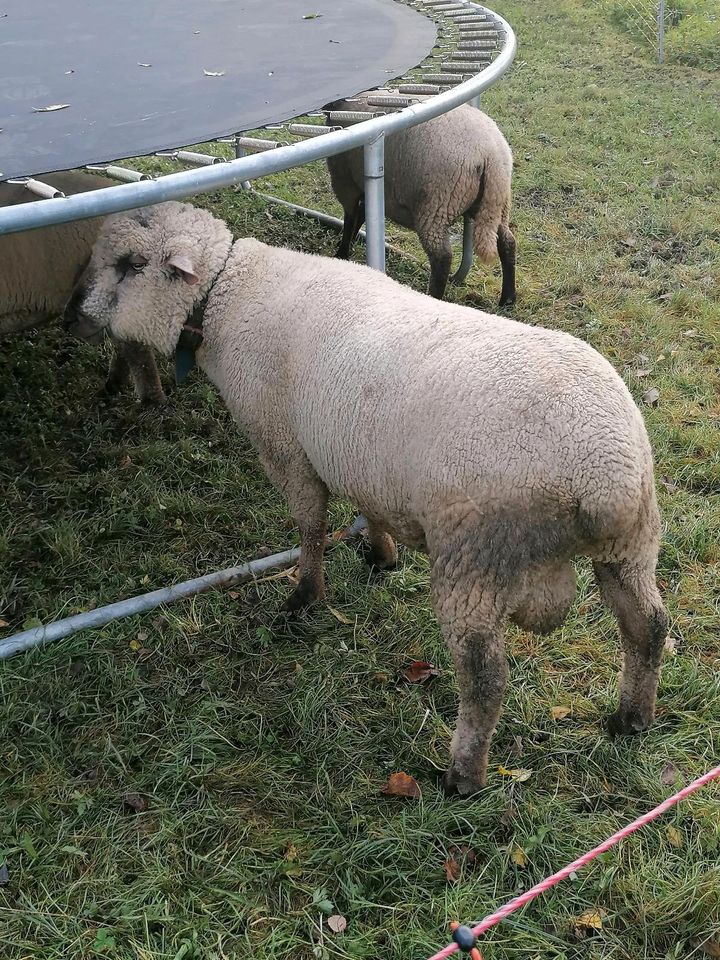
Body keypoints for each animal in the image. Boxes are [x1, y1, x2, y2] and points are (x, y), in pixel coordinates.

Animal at [67, 202, 668, 796]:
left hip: (475, 559)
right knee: (649, 627)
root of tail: (603, 474)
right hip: (632, 546)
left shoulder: (285, 449)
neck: (227, 292)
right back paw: (631, 718)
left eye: (130, 264)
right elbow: (368, 509)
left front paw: (304, 594)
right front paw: (380, 556)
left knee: (485, 680)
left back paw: (463, 775)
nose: (71, 317)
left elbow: (310, 526)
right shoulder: (359, 459)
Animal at [324, 99, 516, 302]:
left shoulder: (344, 180)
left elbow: (350, 218)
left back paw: (434, 295)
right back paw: (508, 298)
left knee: (442, 258)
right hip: (495, 204)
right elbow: (361, 214)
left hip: (437, 205)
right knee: (507, 242)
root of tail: (492, 156)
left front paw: (342, 253)